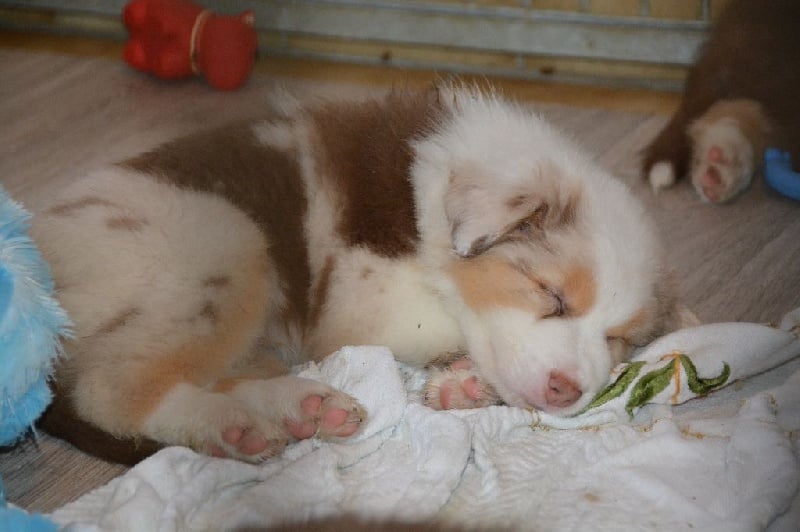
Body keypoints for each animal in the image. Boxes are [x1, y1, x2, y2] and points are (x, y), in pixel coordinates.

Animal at [33, 85, 687, 464]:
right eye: (550, 295)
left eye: (618, 338)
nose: (566, 391)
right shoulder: (361, 302)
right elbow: (445, 325)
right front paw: (466, 376)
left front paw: (463, 386)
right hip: (223, 243)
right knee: (111, 388)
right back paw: (230, 426)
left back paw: (300, 407)